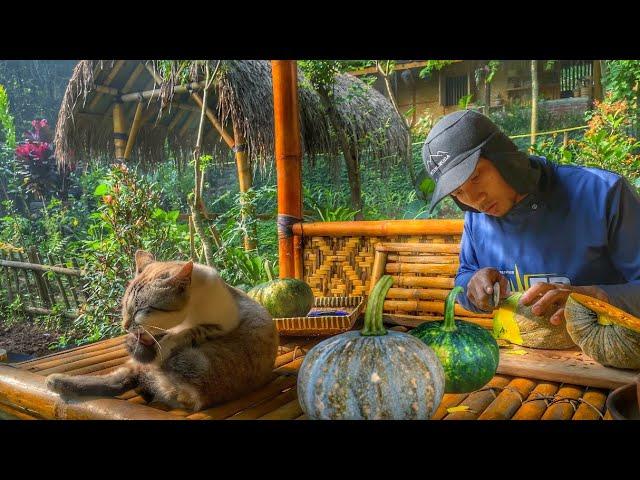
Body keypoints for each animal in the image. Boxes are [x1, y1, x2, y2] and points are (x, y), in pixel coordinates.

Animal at [46, 249, 278, 410]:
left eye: (141, 310)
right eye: (125, 307)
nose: (125, 326)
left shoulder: (222, 324)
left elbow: (187, 333)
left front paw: (161, 343)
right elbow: (157, 336)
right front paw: (143, 340)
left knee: (122, 380)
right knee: (120, 381)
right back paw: (57, 382)